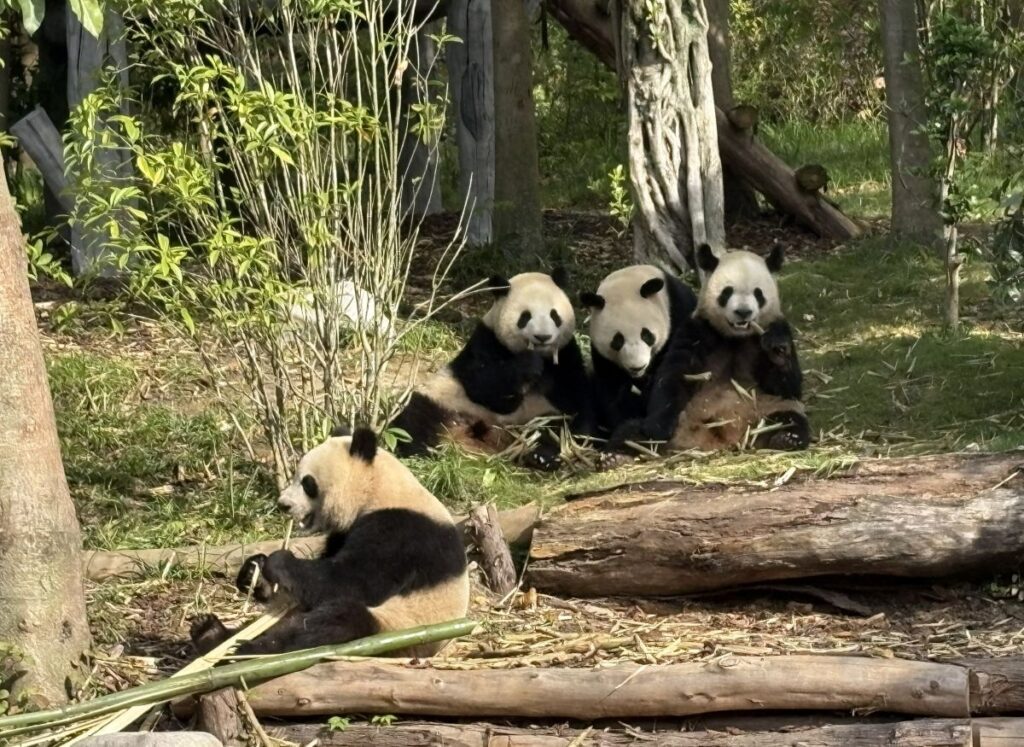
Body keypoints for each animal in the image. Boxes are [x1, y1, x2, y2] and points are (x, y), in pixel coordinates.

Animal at [189, 426, 469, 658]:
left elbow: (352, 580)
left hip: (396, 629)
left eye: (307, 483)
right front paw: (254, 571)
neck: (379, 490)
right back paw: (211, 633)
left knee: (336, 622)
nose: (283, 504)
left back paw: (249, 649)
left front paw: (279, 561)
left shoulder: (402, 531)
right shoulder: (345, 532)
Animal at [390, 269, 593, 470]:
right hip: (445, 399)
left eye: (554, 315)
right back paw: (422, 453)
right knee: (414, 416)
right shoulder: (485, 340)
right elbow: (485, 386)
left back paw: (541, 457)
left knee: (552, 428)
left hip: (533, 416)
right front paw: (528, 364)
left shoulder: (567, 355)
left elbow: (573, 397)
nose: (542, 337)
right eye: (525, 316)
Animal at [579, 264, 698, 446]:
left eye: (646, 335)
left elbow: (677, 372)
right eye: (617, 341)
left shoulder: (679, 312)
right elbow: (612, 393)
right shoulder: (603, 358)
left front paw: (657, 426)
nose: (637, 367)